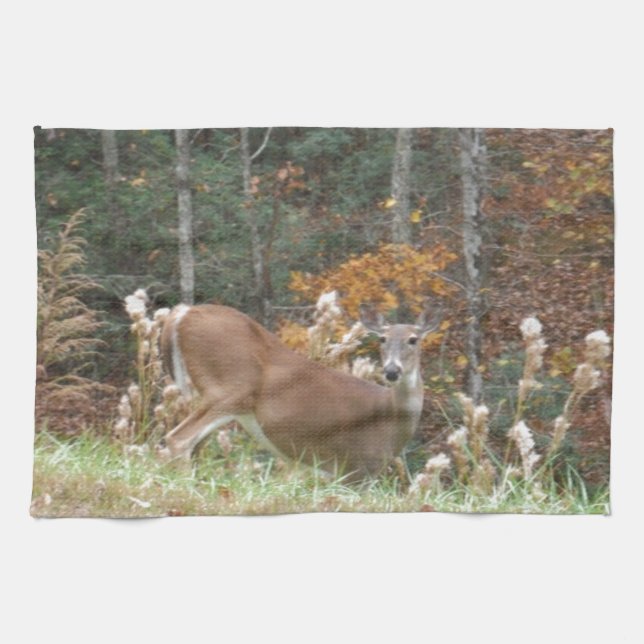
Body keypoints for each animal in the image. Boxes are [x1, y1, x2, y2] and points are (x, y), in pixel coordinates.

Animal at [156, 302, 438, 480]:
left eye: (413, 339)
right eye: (382, 339)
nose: (391, 371)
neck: (391, 415)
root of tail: (183, 313)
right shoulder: (356, 467)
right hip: (231, 389)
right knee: (179, 439)